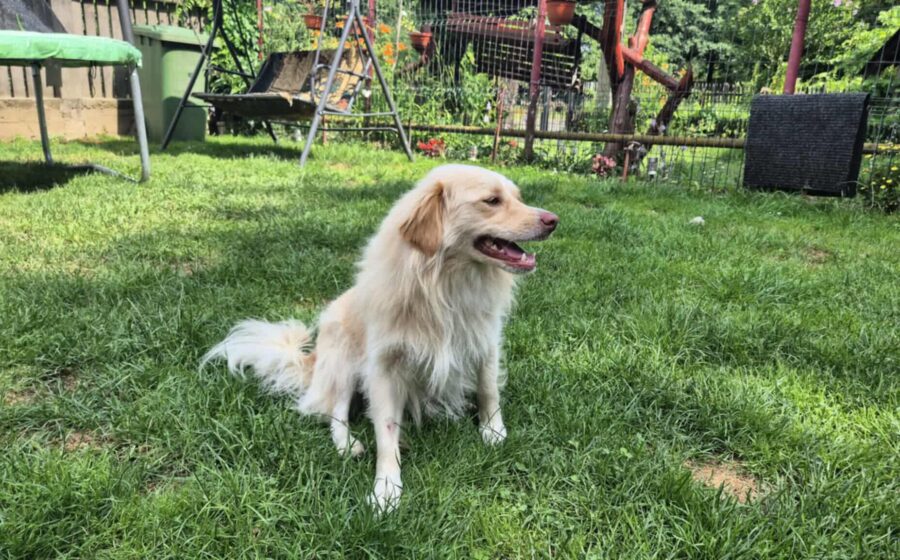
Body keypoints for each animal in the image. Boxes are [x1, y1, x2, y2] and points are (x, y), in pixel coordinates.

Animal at [201, 164, 558, 511]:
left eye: (517, 197)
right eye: (492, 200)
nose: (553, 221)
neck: (445, 286)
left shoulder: (486, 342)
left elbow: (488, 390)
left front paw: (493, 431)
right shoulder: (385, 367)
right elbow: (385, 431)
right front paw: (386, 489)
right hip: (344, 363)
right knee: (334, 412)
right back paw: (348, 445)